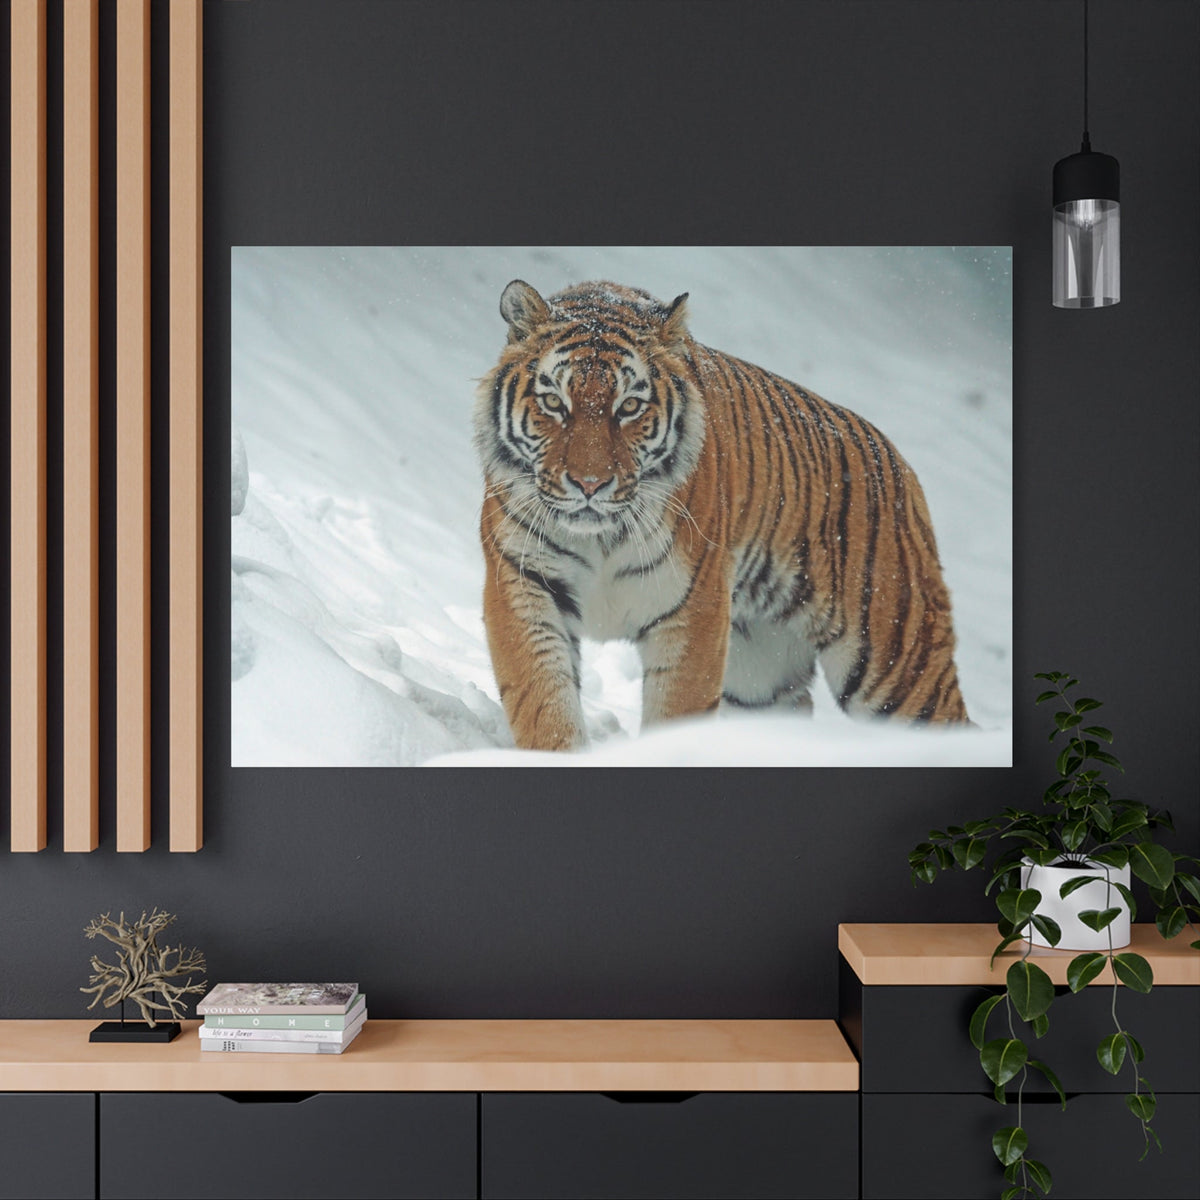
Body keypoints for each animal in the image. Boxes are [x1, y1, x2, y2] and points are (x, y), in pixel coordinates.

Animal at [474, 279, 970, 751]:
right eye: (554, 403)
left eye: (629, 406)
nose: (590, 484)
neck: (600, 538)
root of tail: (900, 465)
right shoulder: (523, 582)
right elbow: (544, 702)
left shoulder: (695, 609)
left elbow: (676, 712)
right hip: (760, 678)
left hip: (897, 664)